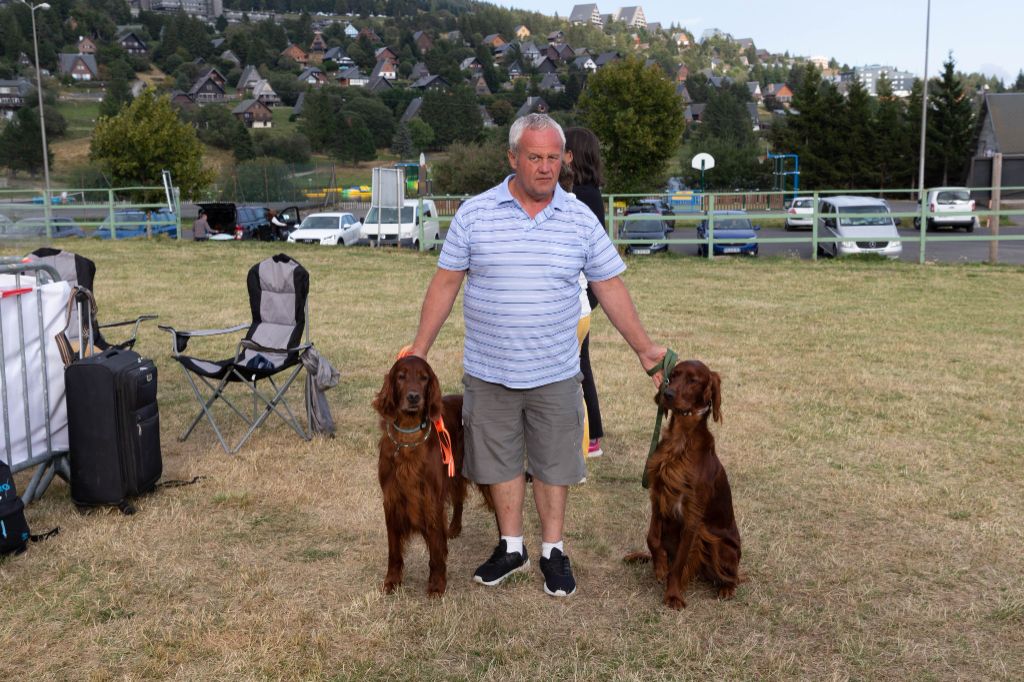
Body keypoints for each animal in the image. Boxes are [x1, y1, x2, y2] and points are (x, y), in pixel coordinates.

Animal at [376, 356, 471, 593]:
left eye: (424, 378)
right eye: (401, 377)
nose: (413, 397)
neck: (409, 437)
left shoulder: (431, 498)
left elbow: (436, 547)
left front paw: (437, 583)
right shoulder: (391, 498)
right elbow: (394, 549)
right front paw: (392, 580)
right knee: (459, 498)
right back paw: (454, 528)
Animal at [622, 358, 745, 606]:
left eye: (694, 380)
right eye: (673, 375)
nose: (667, 394)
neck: (680, 440)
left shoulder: (692, 515)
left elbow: (679, 563)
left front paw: (673, 595)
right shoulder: (658, 496)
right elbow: (652, 538)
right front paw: (659, 566)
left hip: (722, 546)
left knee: (734, 576)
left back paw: (726, 588)